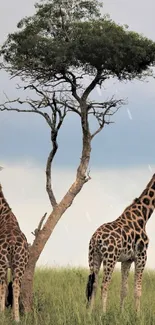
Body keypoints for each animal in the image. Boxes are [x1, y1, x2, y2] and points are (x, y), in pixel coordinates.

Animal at [86, 173, 155, 312]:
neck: (143, 216)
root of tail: (96, 239)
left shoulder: (127, 260)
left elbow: (124, 290)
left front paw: (121, 313)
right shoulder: (142, 256)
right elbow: (137, 291)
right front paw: (137, 314)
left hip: (94, 257)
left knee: (94, 284)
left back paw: (90, 313)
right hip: (110, 258)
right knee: (104, 285)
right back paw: (103, 313)